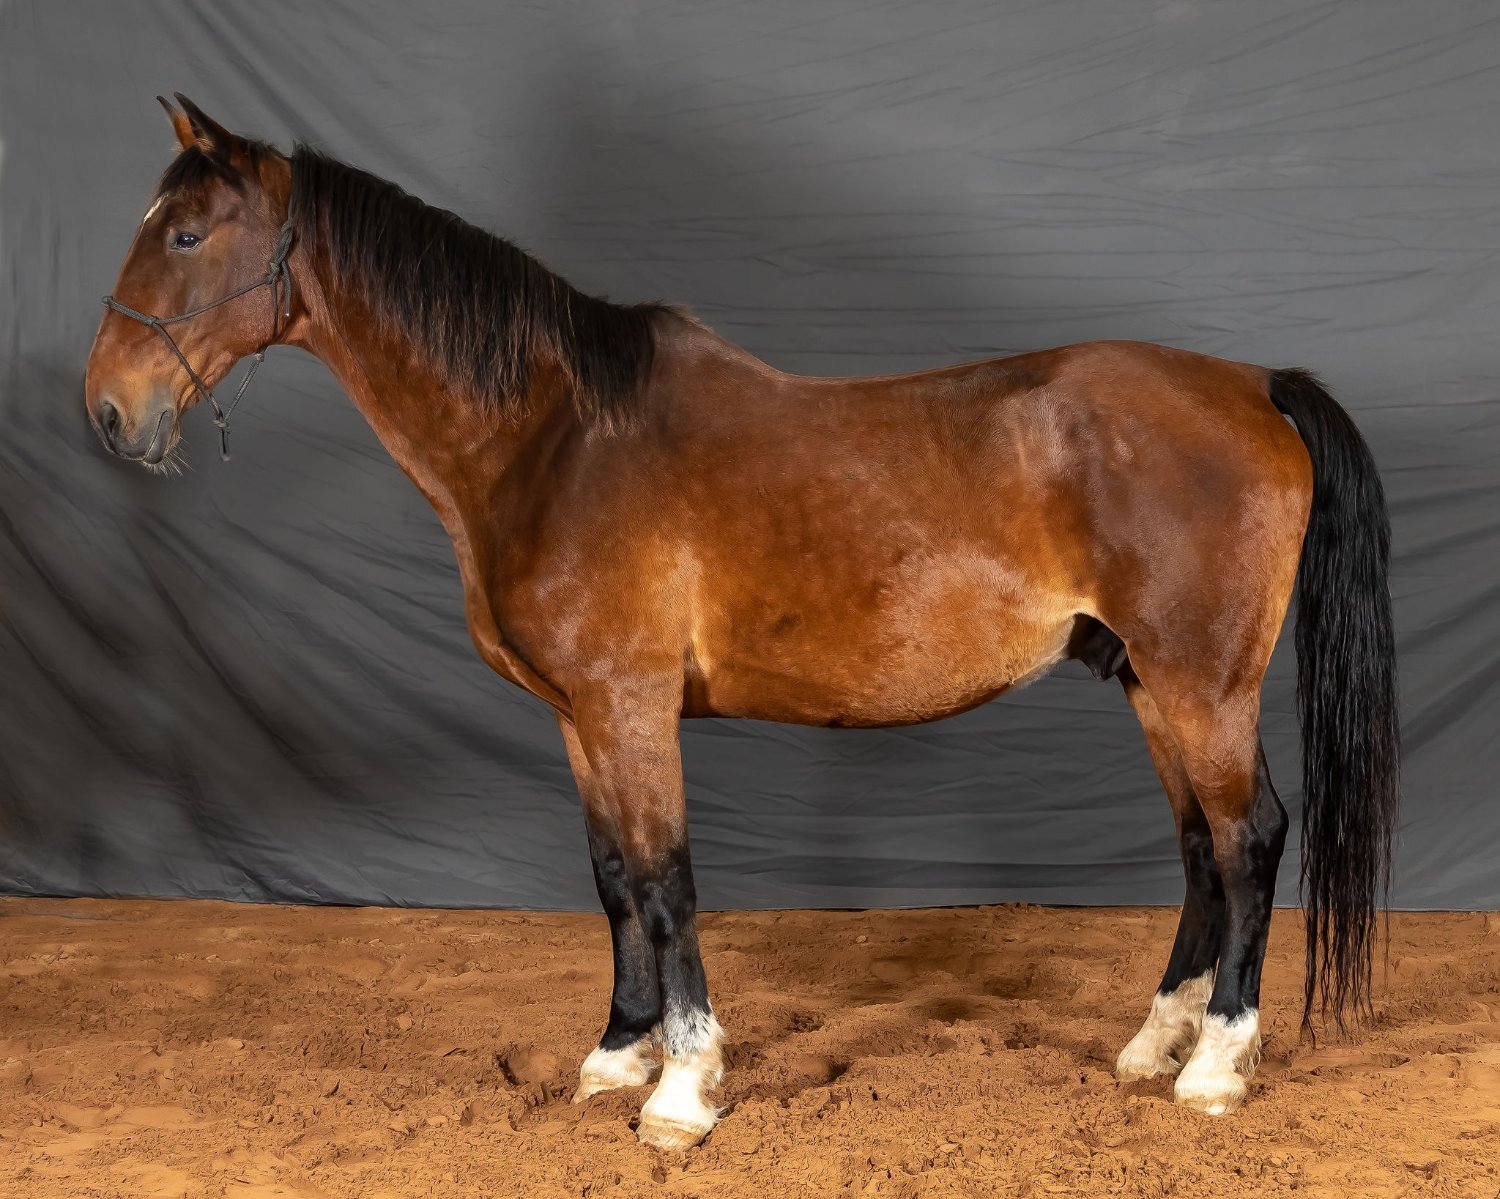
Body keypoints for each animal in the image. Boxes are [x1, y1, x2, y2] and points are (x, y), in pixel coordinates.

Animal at [85, 95, 1400, 1150]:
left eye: (187, 235)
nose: (108, 409)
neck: (557, 438)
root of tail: (1253, 386)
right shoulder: (581, 717)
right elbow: (613, 876)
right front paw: (618, 1053)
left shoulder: (630, 705)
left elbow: (668, 881)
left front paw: (681, 1089)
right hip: (1147, 679)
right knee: (1198, 848)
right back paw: (1153, 1044)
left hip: (1201, 680)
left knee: (1249, 837)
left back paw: (1217, 1065)